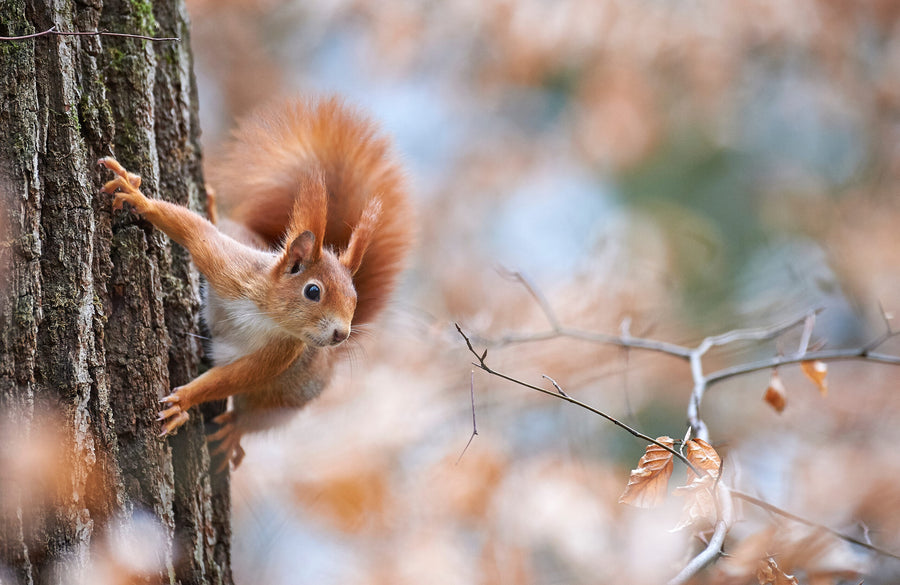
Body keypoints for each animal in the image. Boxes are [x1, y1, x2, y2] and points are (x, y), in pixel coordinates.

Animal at [100, 96, 413, 468]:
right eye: (313, 291)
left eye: (355, 298)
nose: (341, 334)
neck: (266, 312)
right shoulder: (228, 267)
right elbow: (193, 230)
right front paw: (138, 198)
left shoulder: (282, 353)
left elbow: (233, 378)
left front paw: (183, 401)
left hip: (286, 399)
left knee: (253, 416)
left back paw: (234, 429)